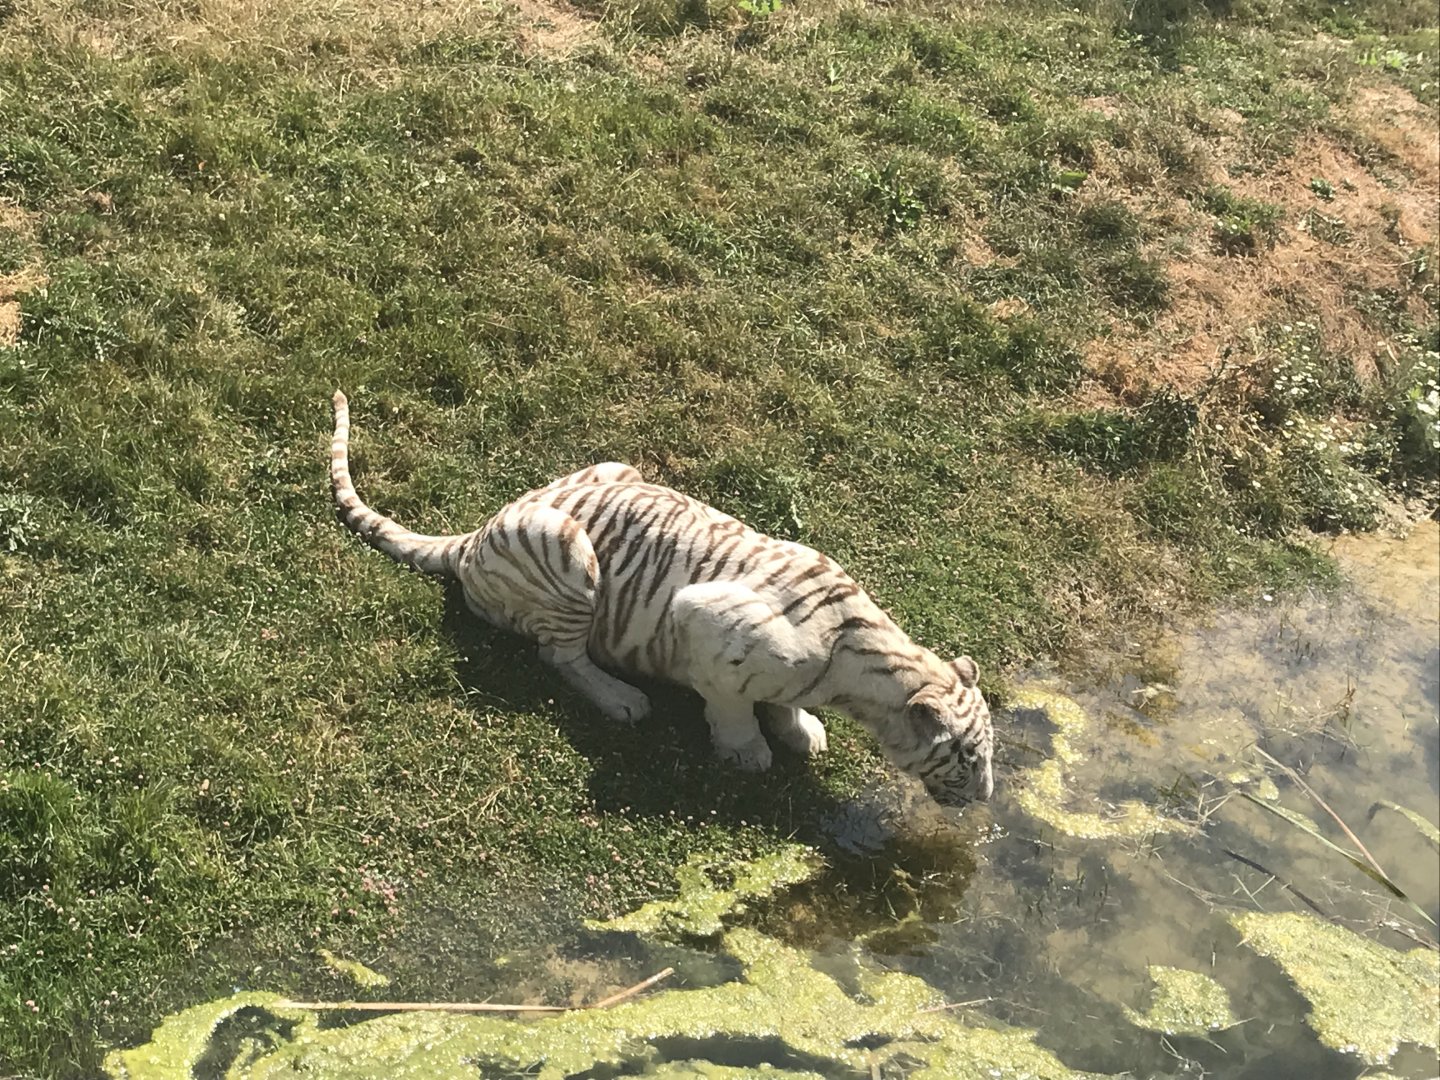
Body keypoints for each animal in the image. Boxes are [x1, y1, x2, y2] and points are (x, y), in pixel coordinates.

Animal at [329, 390, 994, 808]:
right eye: (965, 758)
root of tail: (475, 534)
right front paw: (747, 752)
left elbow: (782, 706)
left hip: (614, 465)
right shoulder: (702, 617)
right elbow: (731, 705)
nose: (984, 797)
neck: (862, 673)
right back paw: (624, 700)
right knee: (558, 656)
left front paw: (801, 730)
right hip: (566, 553)